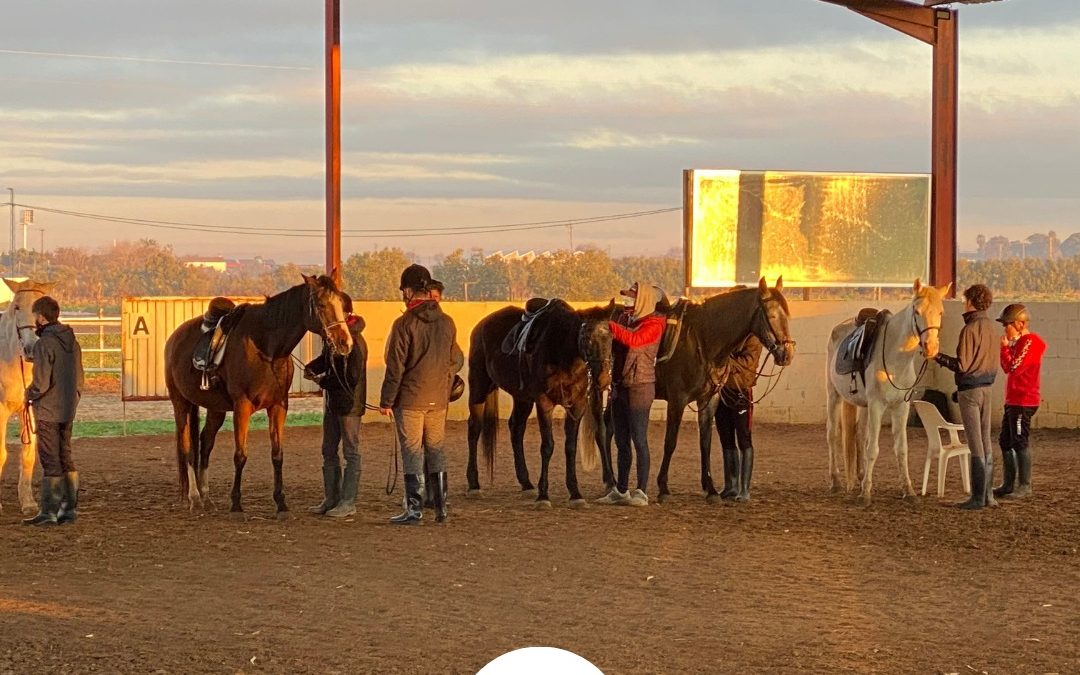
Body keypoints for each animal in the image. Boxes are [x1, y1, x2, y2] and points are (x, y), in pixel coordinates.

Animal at [162, 271, 352, 514]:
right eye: (320, 304)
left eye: (341, 303)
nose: (345, 342)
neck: (267, 349)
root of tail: (174, 338)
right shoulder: (242, 407)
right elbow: (240, 455)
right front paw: (236, 503)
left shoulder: (278, 406)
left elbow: (277, 455)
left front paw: (281, 502)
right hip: (181, 404)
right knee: (187, 447)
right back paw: (194, 498)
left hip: (215, 409)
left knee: (205, 444)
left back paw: (206, 497)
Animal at [466, 298, 617, 507]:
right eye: (586, 338)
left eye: (610, 338)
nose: (603, 379)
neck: (562, 353)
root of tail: (481, 326)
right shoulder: (544, 403)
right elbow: (547, 446)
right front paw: (543, 495)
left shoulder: (577, 404)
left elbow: (570, 447)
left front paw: (575, 493)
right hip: (479, 388)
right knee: (474, 428)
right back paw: (474, 484)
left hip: (521, 398)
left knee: (516, 428)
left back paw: (526, 483)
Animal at [596, 276, 799, 503]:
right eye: (771, 315)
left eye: (787, 315)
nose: (787, 353)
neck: (703, 339)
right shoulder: (677, 400)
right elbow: (670, 441)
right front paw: (663, 487)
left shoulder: (708, 400)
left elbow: (706, 443)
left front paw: (710, 489)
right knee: (603, 430)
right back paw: (610, 481)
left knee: (607, 428)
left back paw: (611, 482)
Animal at [820, 278, 950, 505]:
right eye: (917, 311)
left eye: (941, 312)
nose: (931, 347)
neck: (895, 358)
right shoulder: (877, 406)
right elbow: (873, 449)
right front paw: (866, 494)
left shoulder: (901, 407)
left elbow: (901, 449)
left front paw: (909, 490)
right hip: (834, 396)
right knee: (833, 435)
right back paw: (836, 481)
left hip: (863, 404)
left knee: (860, 434)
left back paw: (861, 477)